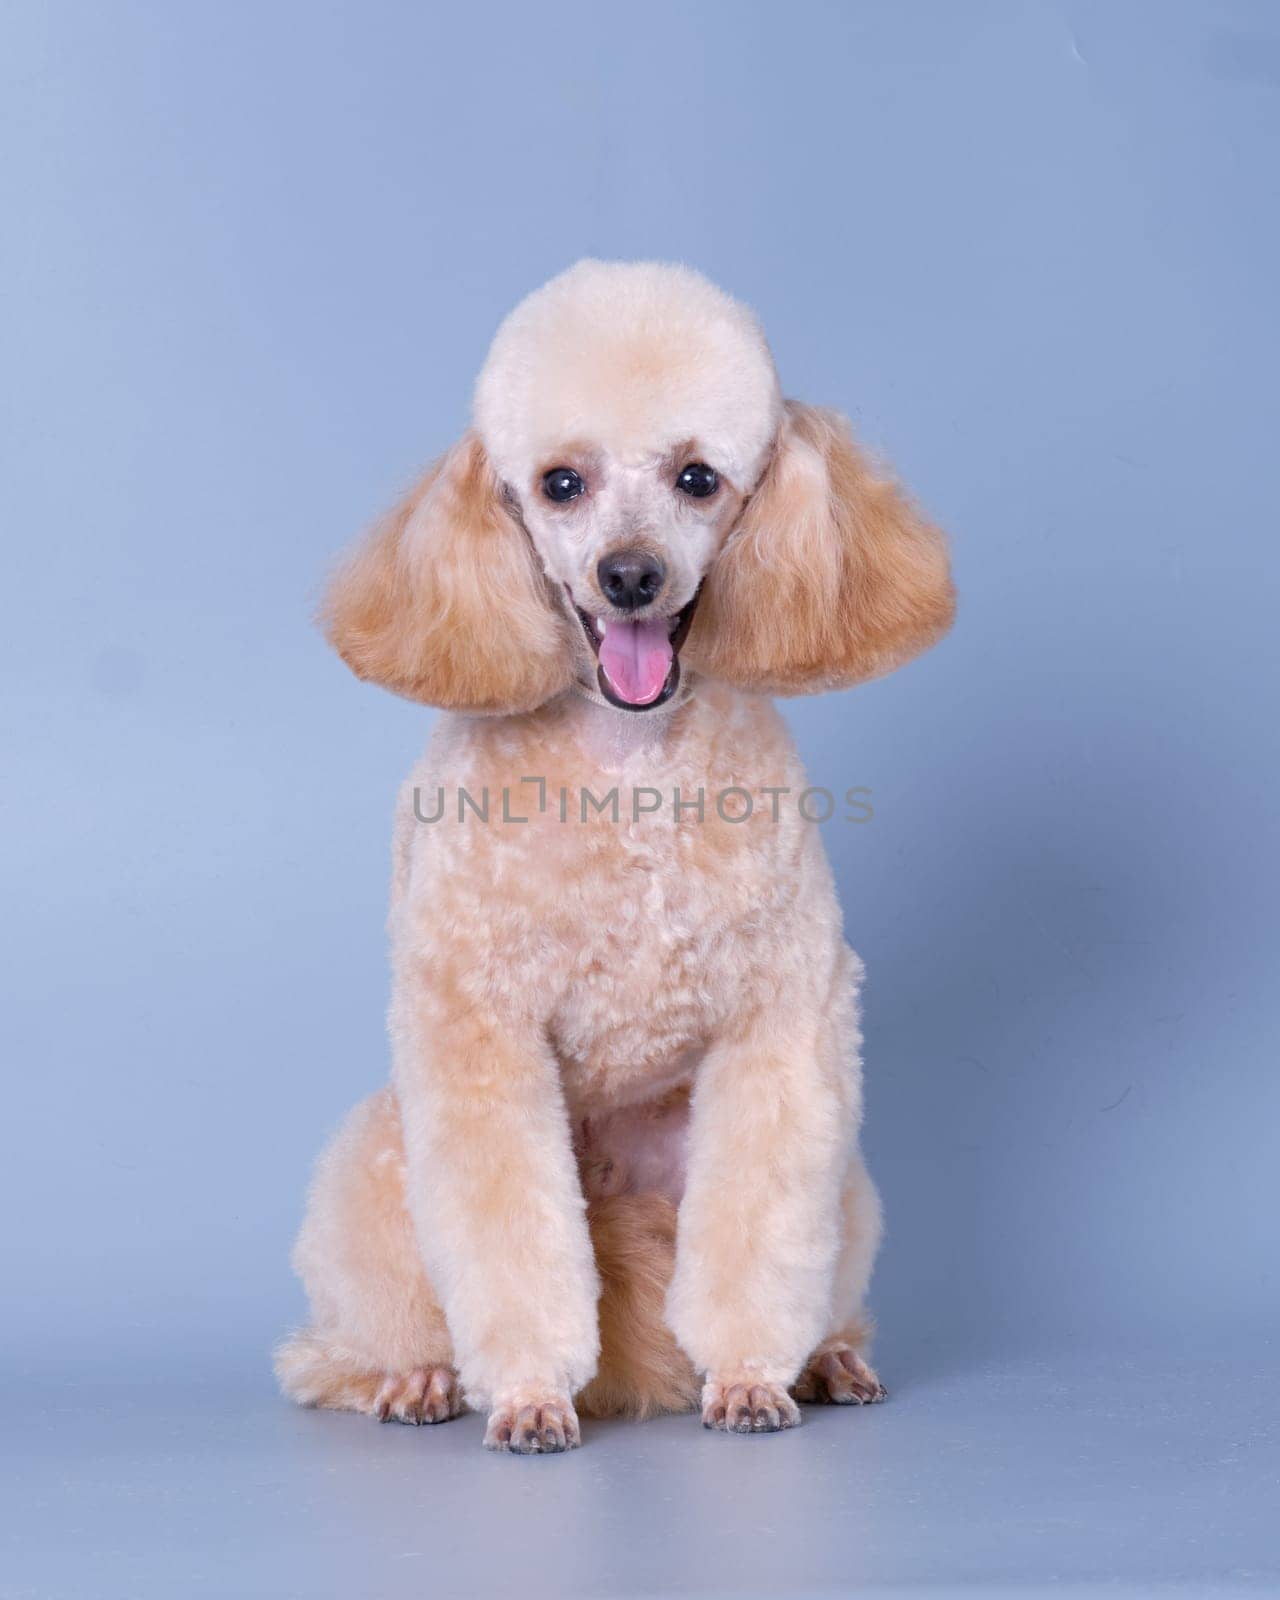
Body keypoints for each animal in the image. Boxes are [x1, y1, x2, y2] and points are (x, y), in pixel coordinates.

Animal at [275, 259, 947, 1452]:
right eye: (559, 484)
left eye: (697, 477)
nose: (628, 575)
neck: (628, 763)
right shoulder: (478, 1025)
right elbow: (506, 1239)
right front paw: (530, 1394)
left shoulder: (783, 1020)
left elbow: (761, 1230)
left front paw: (749, 1377)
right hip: (380, 1157)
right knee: (342, 1347)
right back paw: (417, 1378)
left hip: (837, 1183)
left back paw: (828, 1356)